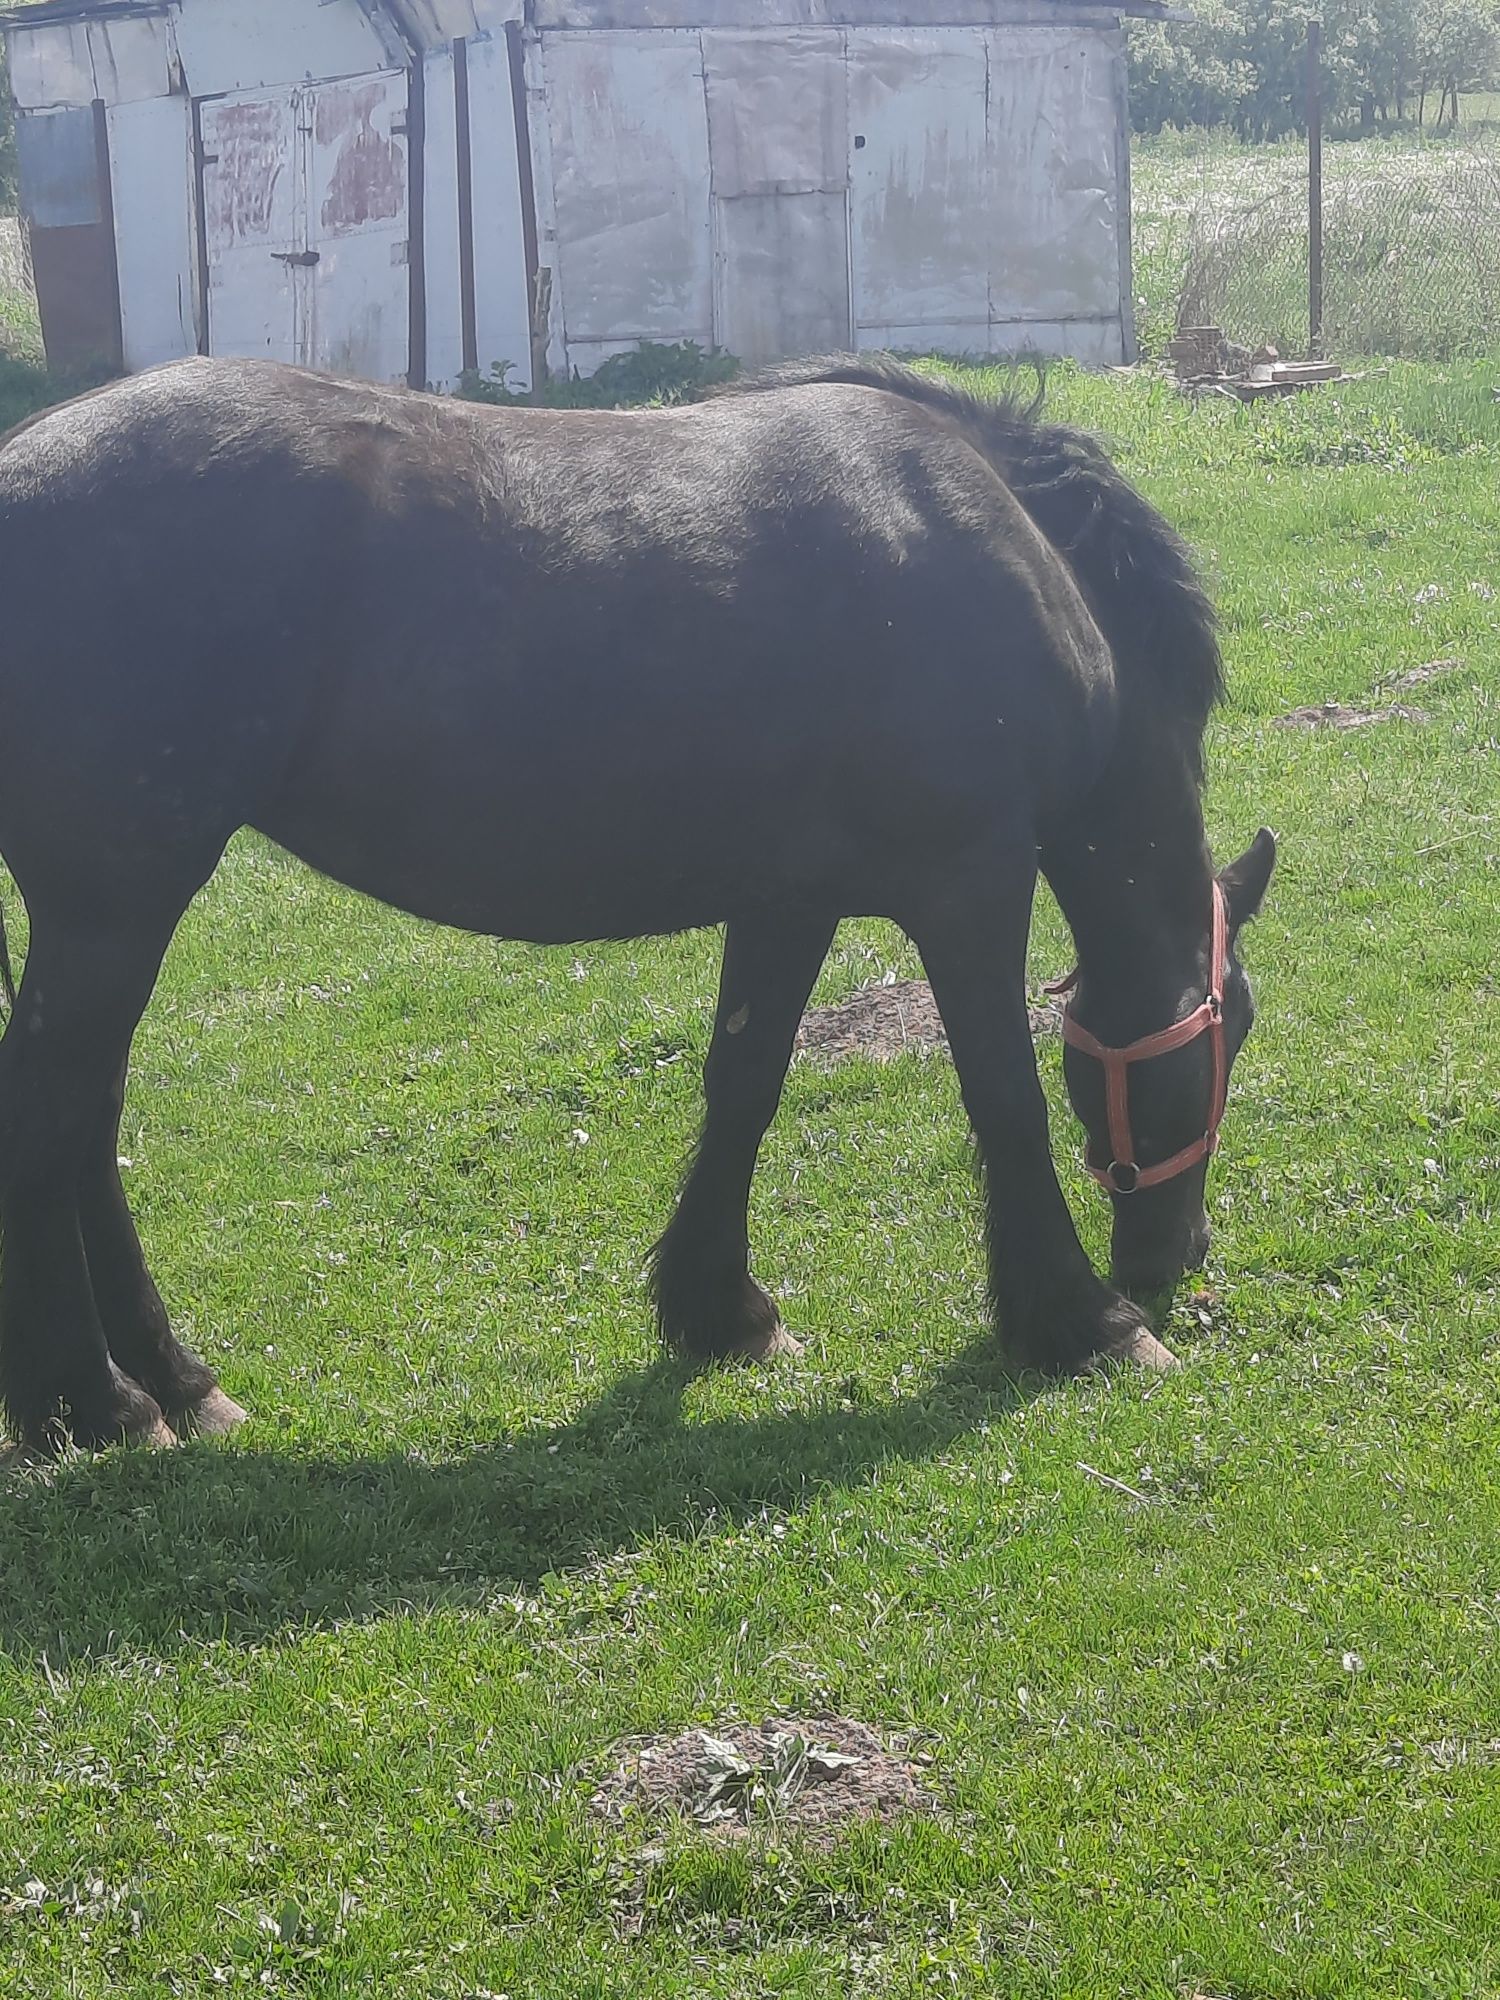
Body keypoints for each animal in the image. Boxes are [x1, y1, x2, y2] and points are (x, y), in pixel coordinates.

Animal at [0, 356, 1272, 1456]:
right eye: (1233, 1026)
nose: (1175, 1255)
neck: (999, 539)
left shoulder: (789, 897)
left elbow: (744, 1083)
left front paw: (721, 1307)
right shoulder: (972, 880)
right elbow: (1003, 1098)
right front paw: (1084, 1319)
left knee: (88, 1127)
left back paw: (174, 1379)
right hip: (116, 907)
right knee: (47, 1121)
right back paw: (100, 1401)